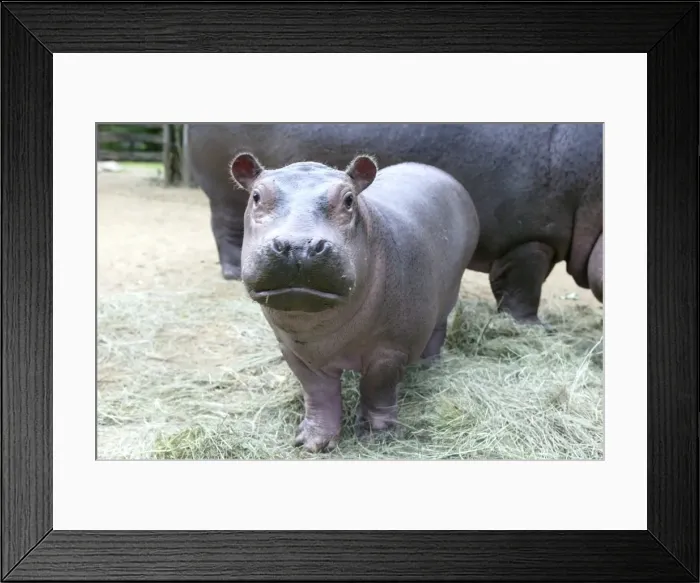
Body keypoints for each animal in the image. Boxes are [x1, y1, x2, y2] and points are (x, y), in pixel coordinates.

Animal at [188, 123, 603, 327]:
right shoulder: (531, 239)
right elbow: (523, 289)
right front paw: (533, 328)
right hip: (223, 192)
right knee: (226, 228)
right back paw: (230, 274)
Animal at [229, 152, 480, 452]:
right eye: (256, 196)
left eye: (349, 200)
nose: (298, 246)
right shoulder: (297, 352)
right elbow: (319, 394)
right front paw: (312, 442)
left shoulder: (389, 351)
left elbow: (377, 389)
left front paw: (376, 436)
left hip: (450, 292)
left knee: (438, 329)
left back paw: (430, 364)